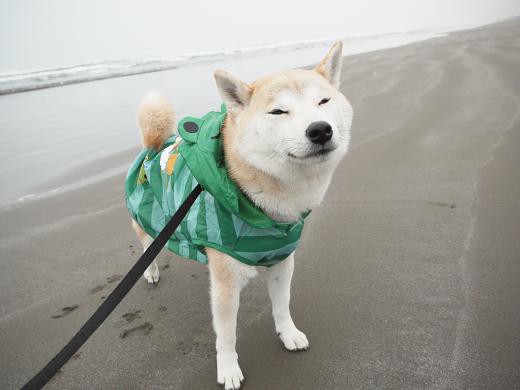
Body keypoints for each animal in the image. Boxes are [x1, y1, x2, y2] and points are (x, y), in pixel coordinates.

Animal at [127, 41, 354, 388]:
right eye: (278, 111)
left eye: (323, 101)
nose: (320, 130)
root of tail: (154, 144)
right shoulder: (226, 283)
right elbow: (227, 334)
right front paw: (228, 369)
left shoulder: (281, 260)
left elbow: (282, 305)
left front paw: (288, 334)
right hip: (149, 220)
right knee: (145, 247)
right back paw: (150, 272)